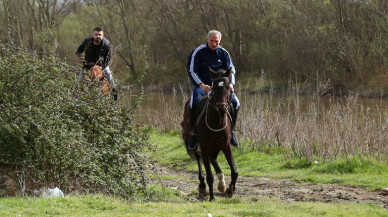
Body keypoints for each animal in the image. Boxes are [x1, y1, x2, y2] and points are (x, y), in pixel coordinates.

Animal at [181, 67, 238, 201]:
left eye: (228, 87)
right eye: (214, 87)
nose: (222, 108)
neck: (216, 121)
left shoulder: (226, 145)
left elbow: (234, 172)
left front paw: (230, 190)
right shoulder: (205, 147)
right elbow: (209, 176)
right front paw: (212, 197)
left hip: (216, 145)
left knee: (213, 158)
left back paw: (222, 184)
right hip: (195, 143)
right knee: (199, 158)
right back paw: (202, 186)